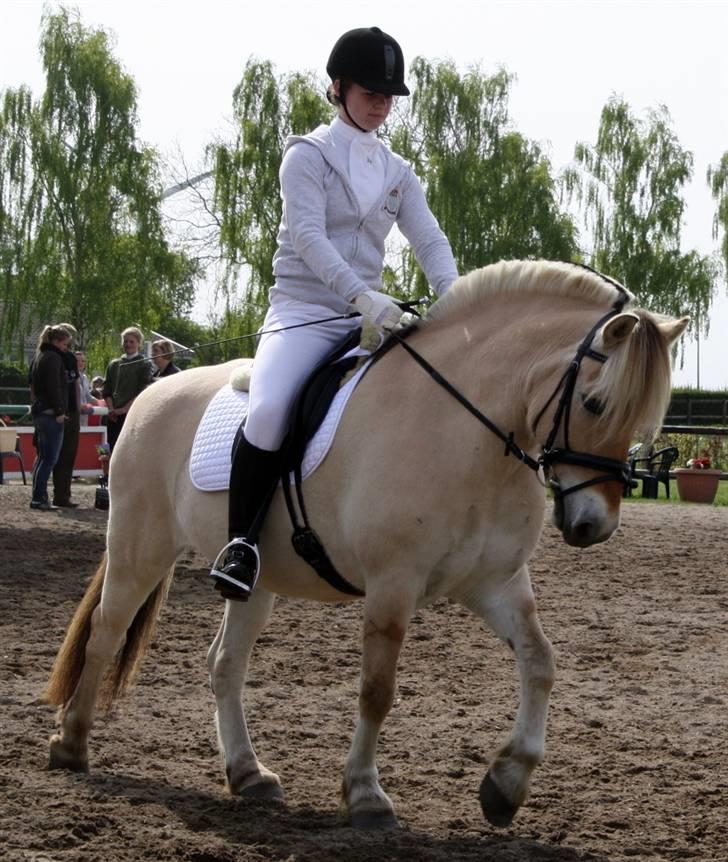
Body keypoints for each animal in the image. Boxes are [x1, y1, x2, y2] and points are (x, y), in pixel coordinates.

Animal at [44, 262, 688, 832]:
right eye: (596, 404)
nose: (592, 525)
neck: (468, 432)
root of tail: (150, 394)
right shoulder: (392, 585)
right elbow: (377, 690)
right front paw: (366, 795)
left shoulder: (493, 583)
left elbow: (540, 662)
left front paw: (506, 785)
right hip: (141, 546)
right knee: (105, 632)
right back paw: (71, 744)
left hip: (255, 581)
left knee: (224, 663)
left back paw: (247, 773)